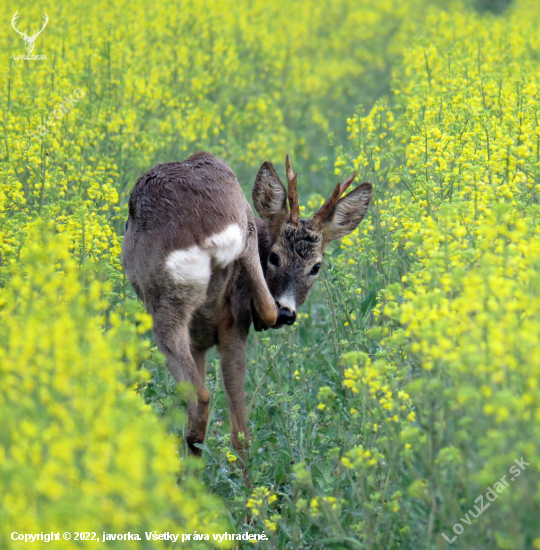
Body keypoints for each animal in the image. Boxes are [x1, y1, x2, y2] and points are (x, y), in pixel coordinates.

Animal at [122, 153, 372, 468]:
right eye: (275, 257)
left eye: (316, 267)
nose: (288, 312)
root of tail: (211, 231)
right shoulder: (209, 337)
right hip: (239, 257)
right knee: (239, 432)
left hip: (166, 303)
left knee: (200, 400)